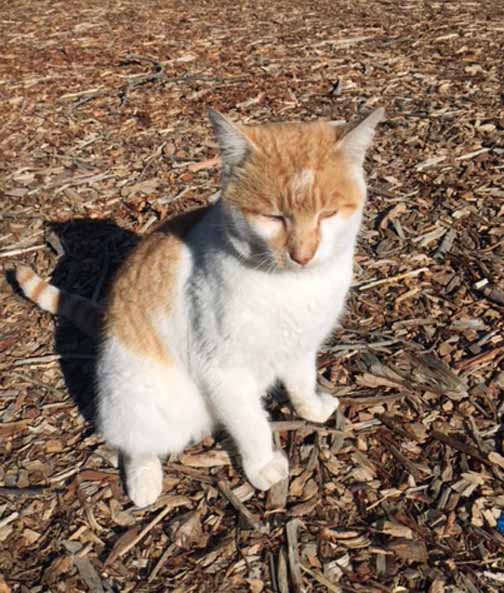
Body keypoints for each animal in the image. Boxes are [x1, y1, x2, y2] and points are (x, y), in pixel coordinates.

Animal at [16, 107, 384, 507]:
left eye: (328, 214)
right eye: (273, 217)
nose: (303, 255)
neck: (293, 286)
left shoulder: (301, 347)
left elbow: (302, 384)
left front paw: (312, 409)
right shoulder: (224, 372)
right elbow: (252, 425)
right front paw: (263, 467)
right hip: (137, 397)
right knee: (135, 443)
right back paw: (144, 481)